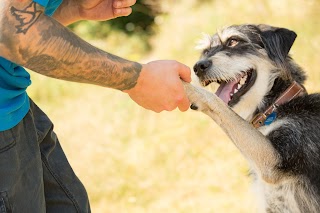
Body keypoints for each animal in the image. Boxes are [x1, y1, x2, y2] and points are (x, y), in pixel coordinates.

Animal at [181, 24, 320, 212]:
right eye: (206, 50)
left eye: (233, 41)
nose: (198, 67)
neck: (274, 107)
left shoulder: (273, 160)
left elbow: (216, 102)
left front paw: (186, 88)